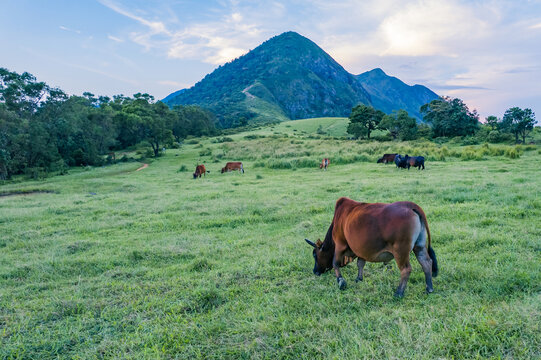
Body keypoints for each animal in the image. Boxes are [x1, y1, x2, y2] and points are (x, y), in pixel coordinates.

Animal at [306, 198, 436, 296]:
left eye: (315, 255)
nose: (315, 271)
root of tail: (410, 205)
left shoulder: (340, 244)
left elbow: (335, 263)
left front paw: (341, 281)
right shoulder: (361, 249)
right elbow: (360, 263)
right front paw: (359, 278)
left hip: (400, 251)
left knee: (406, 269)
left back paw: (399, 292)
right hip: (419, 246)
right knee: (426, 262)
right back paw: (429, 288)